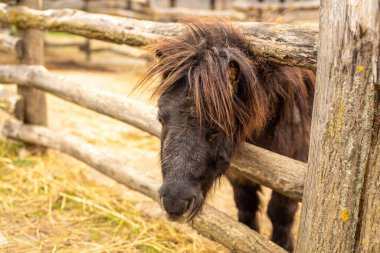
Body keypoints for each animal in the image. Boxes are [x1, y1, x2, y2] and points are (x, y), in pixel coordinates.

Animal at [137, 22, 314, 251]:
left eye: (219, 125)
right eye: (160, 118)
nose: (174, 202)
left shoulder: (292, 172)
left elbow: (280, 216)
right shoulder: (239, 176)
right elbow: (246, 210)